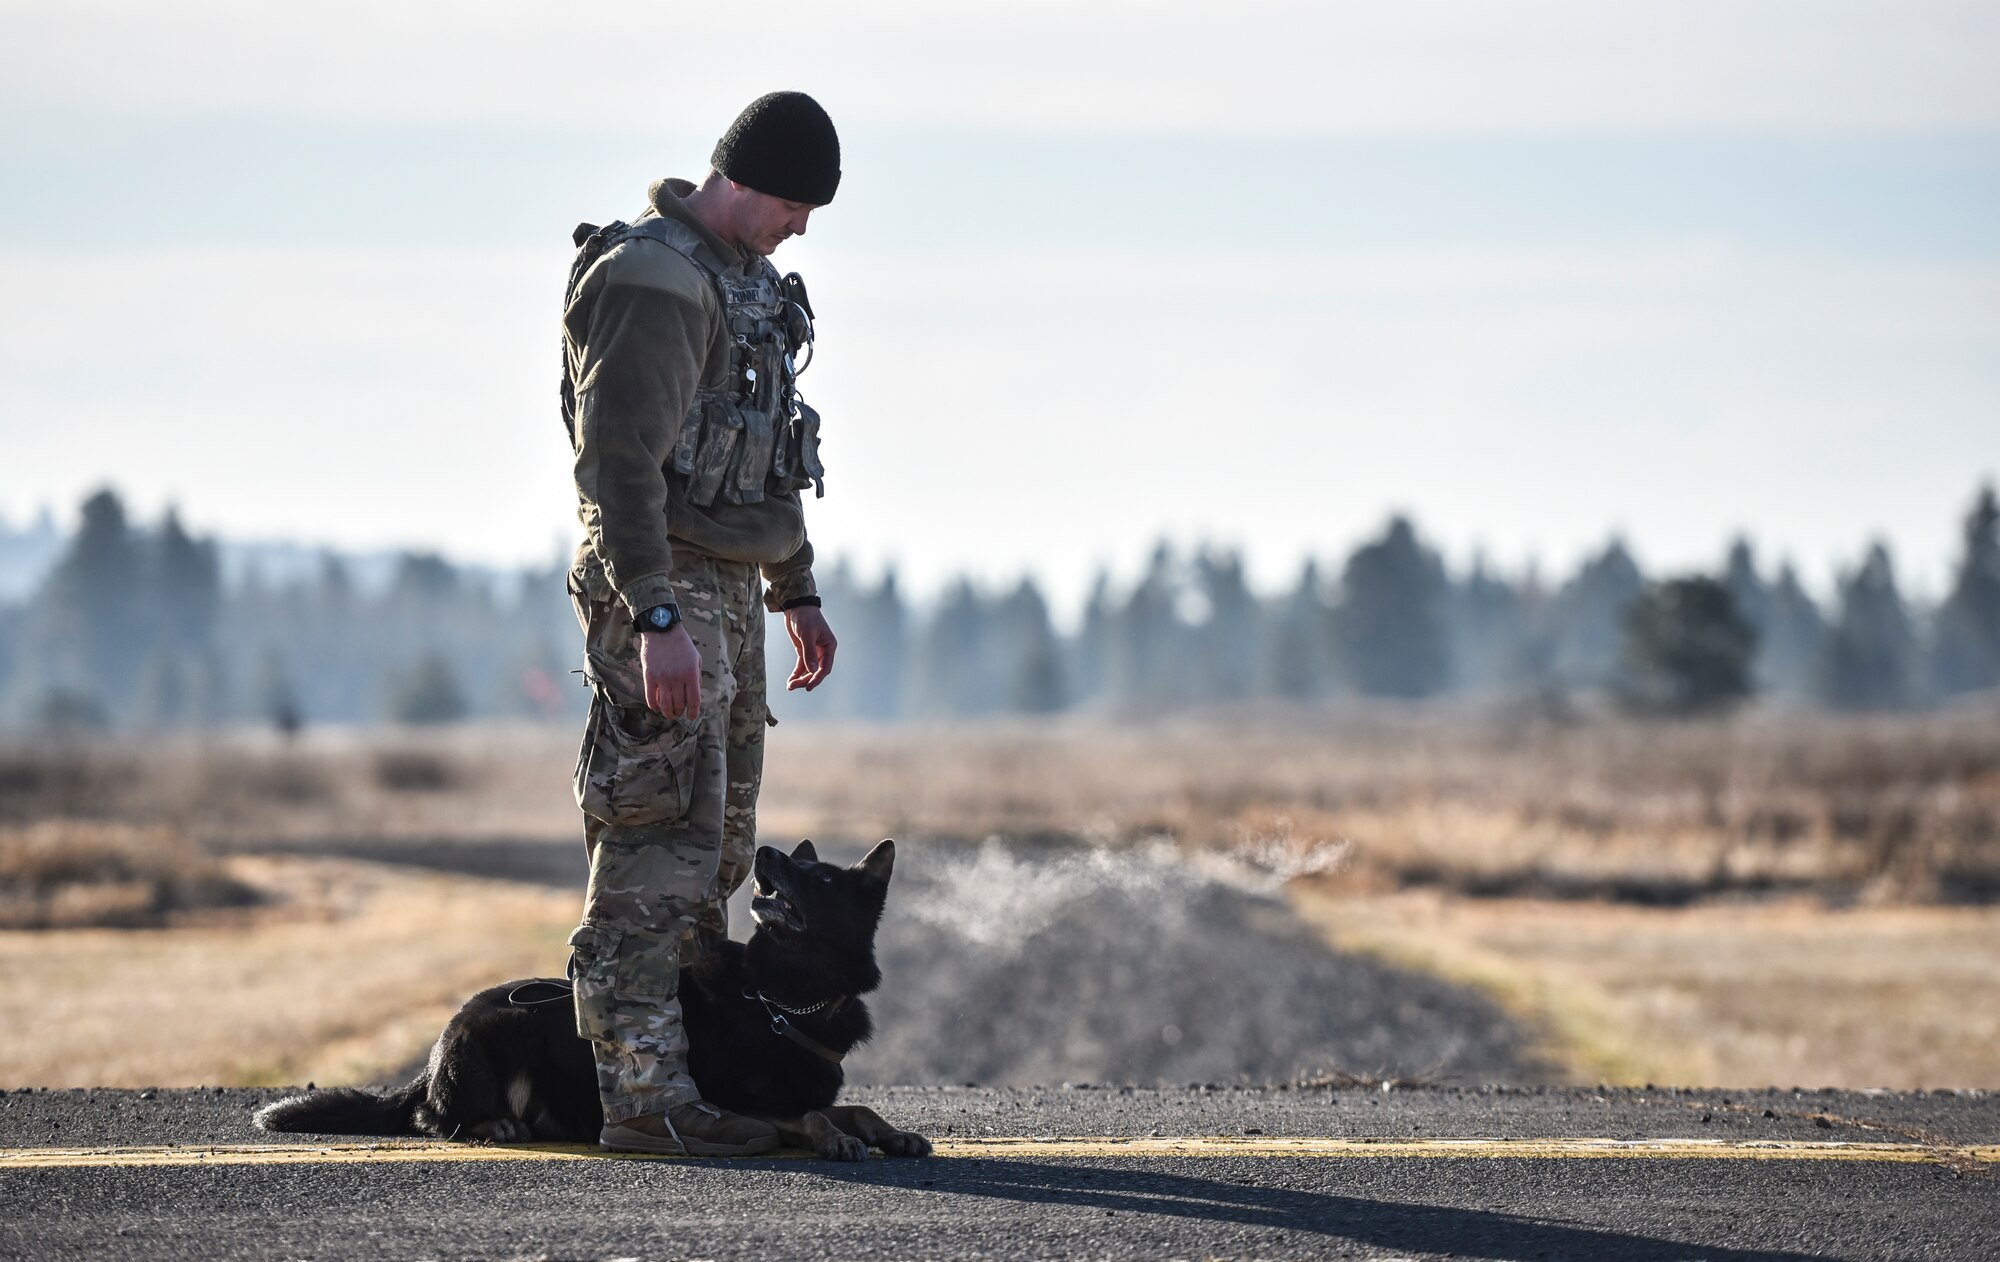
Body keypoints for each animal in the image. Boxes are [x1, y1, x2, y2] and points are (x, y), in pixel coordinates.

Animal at [256, 844, 928, 1160]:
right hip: (499, 1028)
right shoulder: (737, 1105)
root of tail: (427, 1063)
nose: (766, 854)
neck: (780, 1001)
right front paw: (835, 1139)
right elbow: (811, 1116)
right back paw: (491, 1124)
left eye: (821, 877)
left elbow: (857, 1108)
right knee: (430, 1117)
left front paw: (891, 1134)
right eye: (799, 865)